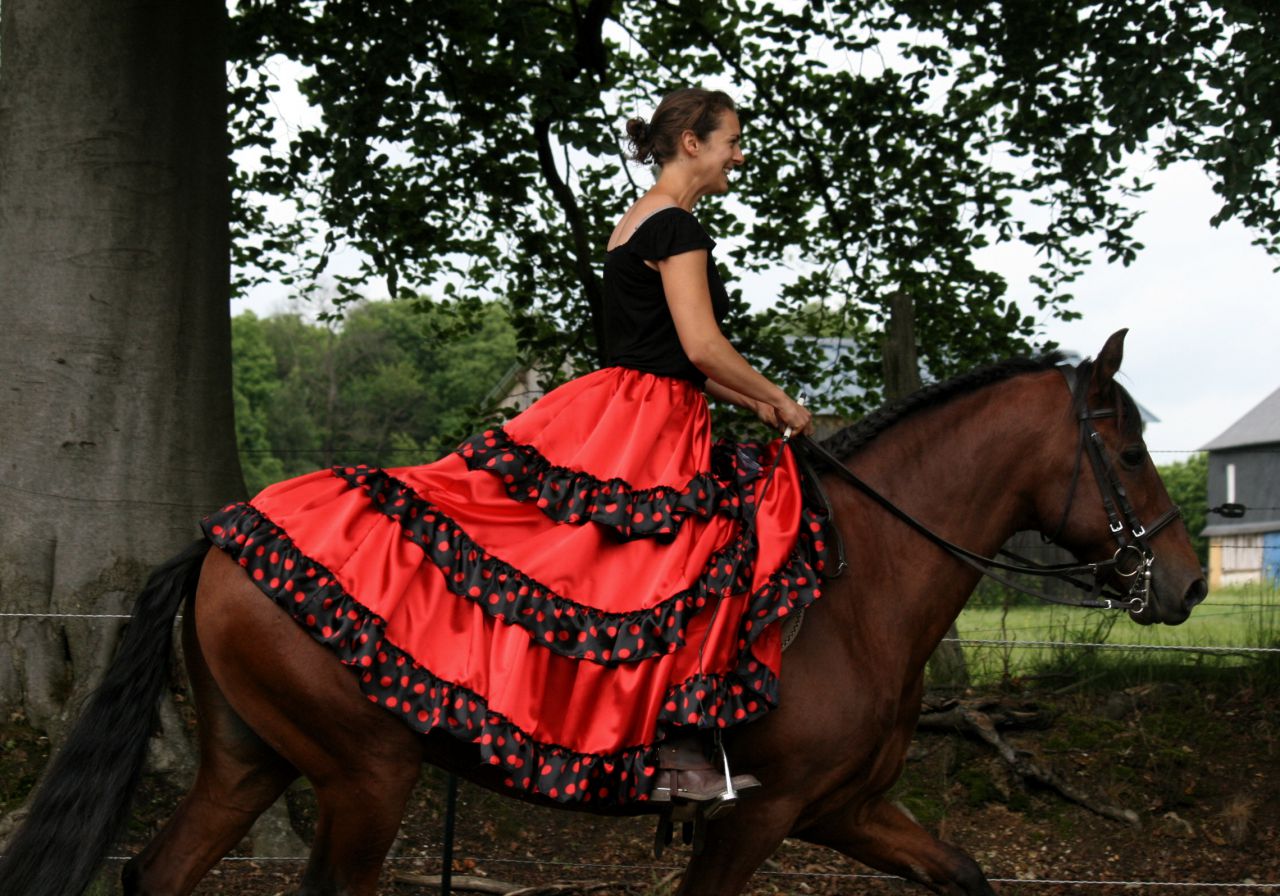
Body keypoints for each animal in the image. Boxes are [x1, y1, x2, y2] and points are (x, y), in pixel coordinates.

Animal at [0, 330, 1206, 896]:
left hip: (250, 760)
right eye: (1128, 450)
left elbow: (964, 872)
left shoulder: (843, 809)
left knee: (158, 872)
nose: (1190, 582)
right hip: (364, 774)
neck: (858, 586)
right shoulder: (755, 815)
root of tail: (217, 536)